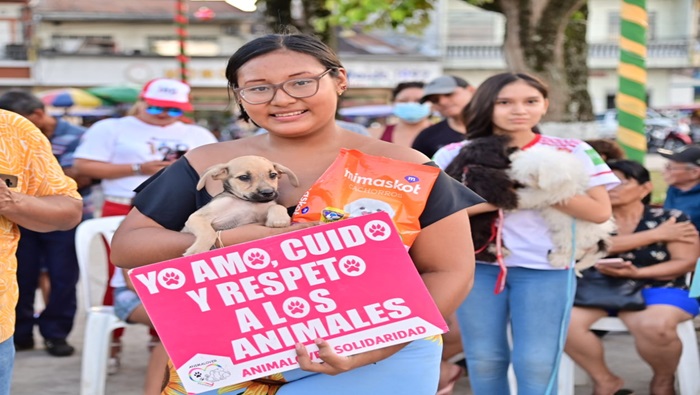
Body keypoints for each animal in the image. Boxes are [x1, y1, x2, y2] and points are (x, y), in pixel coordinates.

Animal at [508, 146, 612, 276]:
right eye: (518, 171)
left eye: (532, 175)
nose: (519, 183)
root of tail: (600, 237)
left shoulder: (546, 193)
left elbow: (528, 197)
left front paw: (512, 204)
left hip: (570, 235)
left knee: (574, 251)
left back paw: (557, 259)